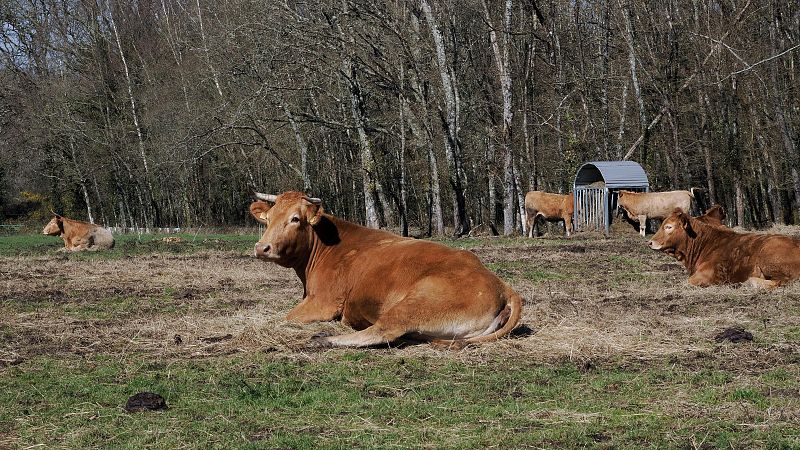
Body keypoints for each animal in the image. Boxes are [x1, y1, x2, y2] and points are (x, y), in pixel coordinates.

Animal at [252, 190, 524, 348]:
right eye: (268, 219)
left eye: (295, 219)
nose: (261, 247)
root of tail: (502, 285)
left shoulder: (323, 302)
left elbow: (285, 317)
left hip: (415, 303)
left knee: (384, 330)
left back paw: (323, 339)